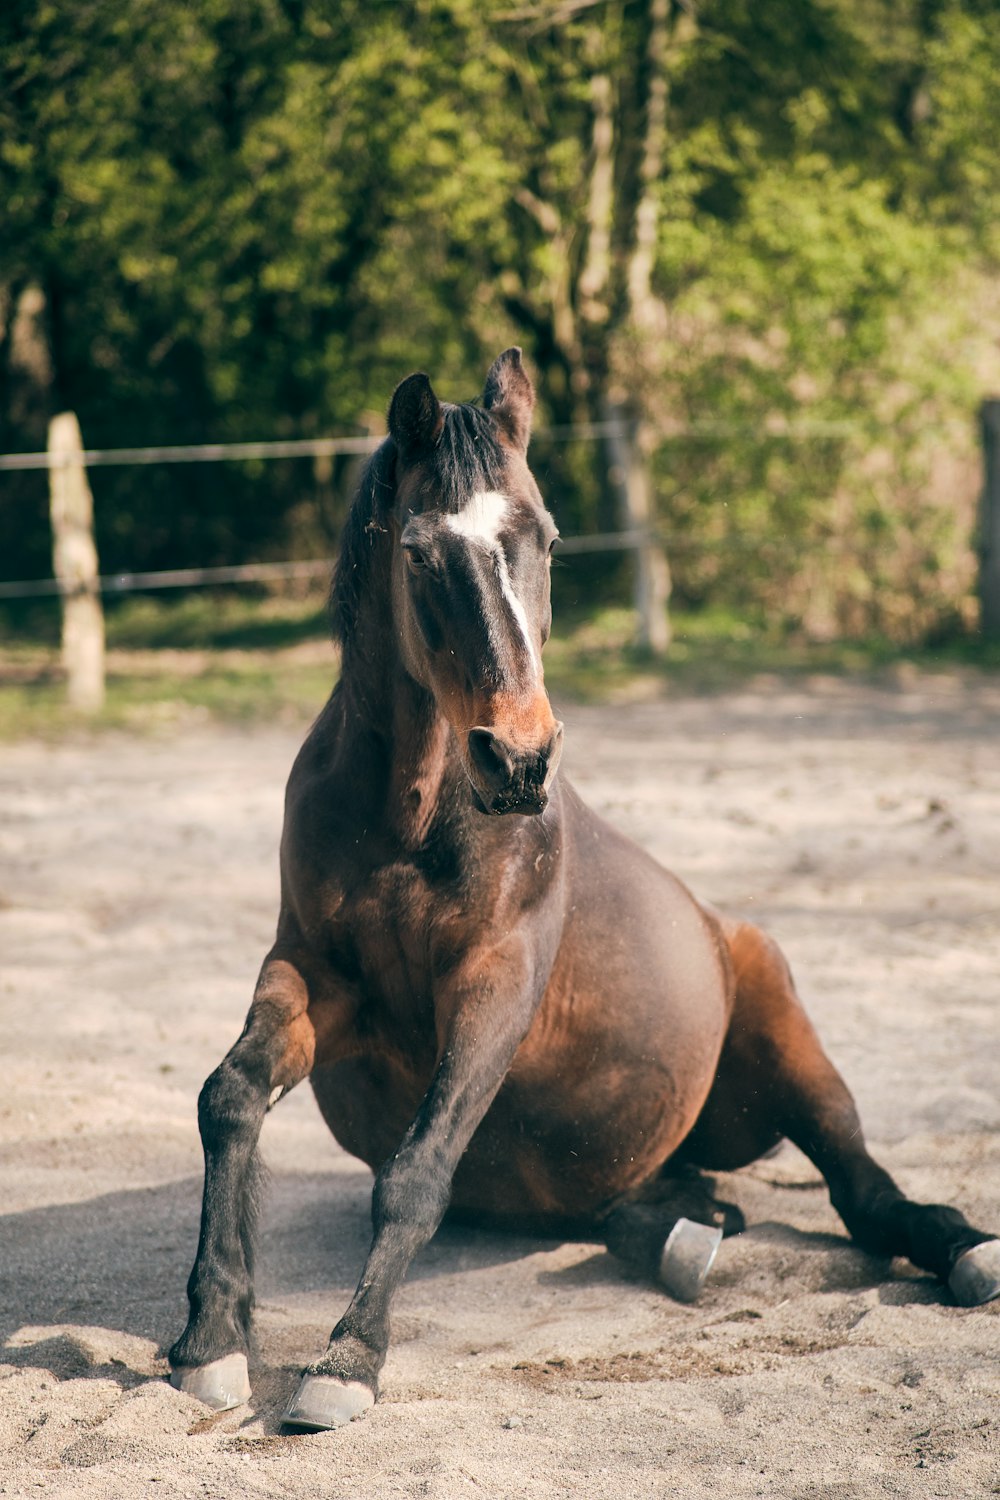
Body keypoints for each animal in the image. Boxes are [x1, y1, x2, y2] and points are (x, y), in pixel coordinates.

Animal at [170, 348, 1000, 1428]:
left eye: (547, 538)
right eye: (419, 553)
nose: (519, 757)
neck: (409, 818)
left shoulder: (493, 986)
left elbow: (415, 1175)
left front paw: (345, 1362)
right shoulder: (316, 976)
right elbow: (228, 1098)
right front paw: (211, 1338)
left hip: (792, 1047)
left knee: (866, 1194)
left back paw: (964, 1251)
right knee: (632, 1206)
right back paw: (690, 1236)